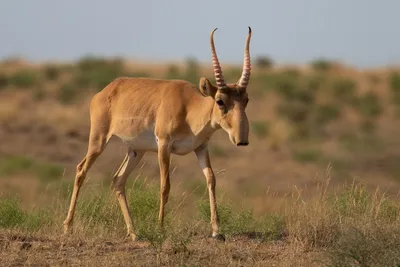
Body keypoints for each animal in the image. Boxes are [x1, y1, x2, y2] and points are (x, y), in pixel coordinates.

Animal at [63, 27, 253, 243]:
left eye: (246, 99)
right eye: (220, 101)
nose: (241, 140)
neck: (189, 106)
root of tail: (105, 91)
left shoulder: (201, 147)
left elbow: (211, 180)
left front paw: (217, 231)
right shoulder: (164, 146)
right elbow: (165, 185)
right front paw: (161, 228)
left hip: (136, 151)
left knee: (118, 179)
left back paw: (134, 233)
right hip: (99, 140)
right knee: (81, 170)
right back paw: (67, 227)